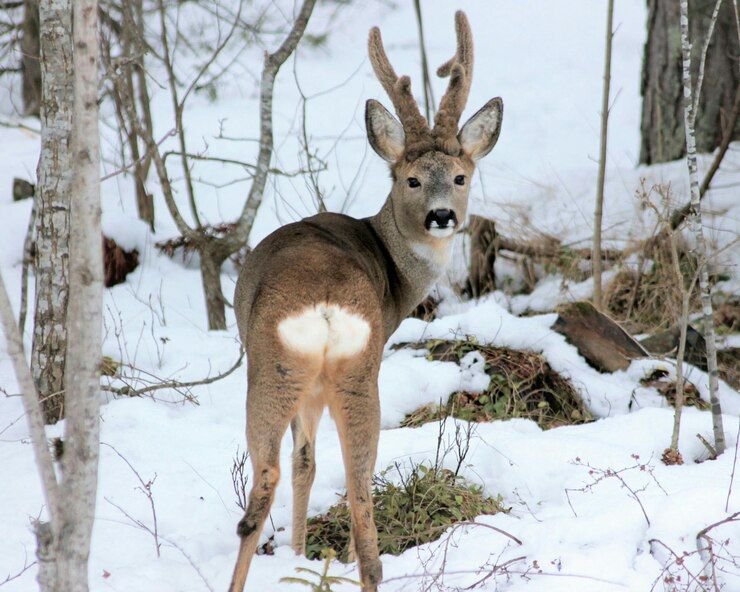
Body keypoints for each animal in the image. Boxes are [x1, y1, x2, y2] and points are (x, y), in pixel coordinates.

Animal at [227, 10, 502, 592]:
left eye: (460, 176)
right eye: (412, 179)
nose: (442, 215)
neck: (393, 273)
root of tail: (328, 306)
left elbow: (305, 461)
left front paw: (297, 553)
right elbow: (311, 461)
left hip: (278, 367)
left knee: (270, 479)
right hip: (347, 369)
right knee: (356, 483)